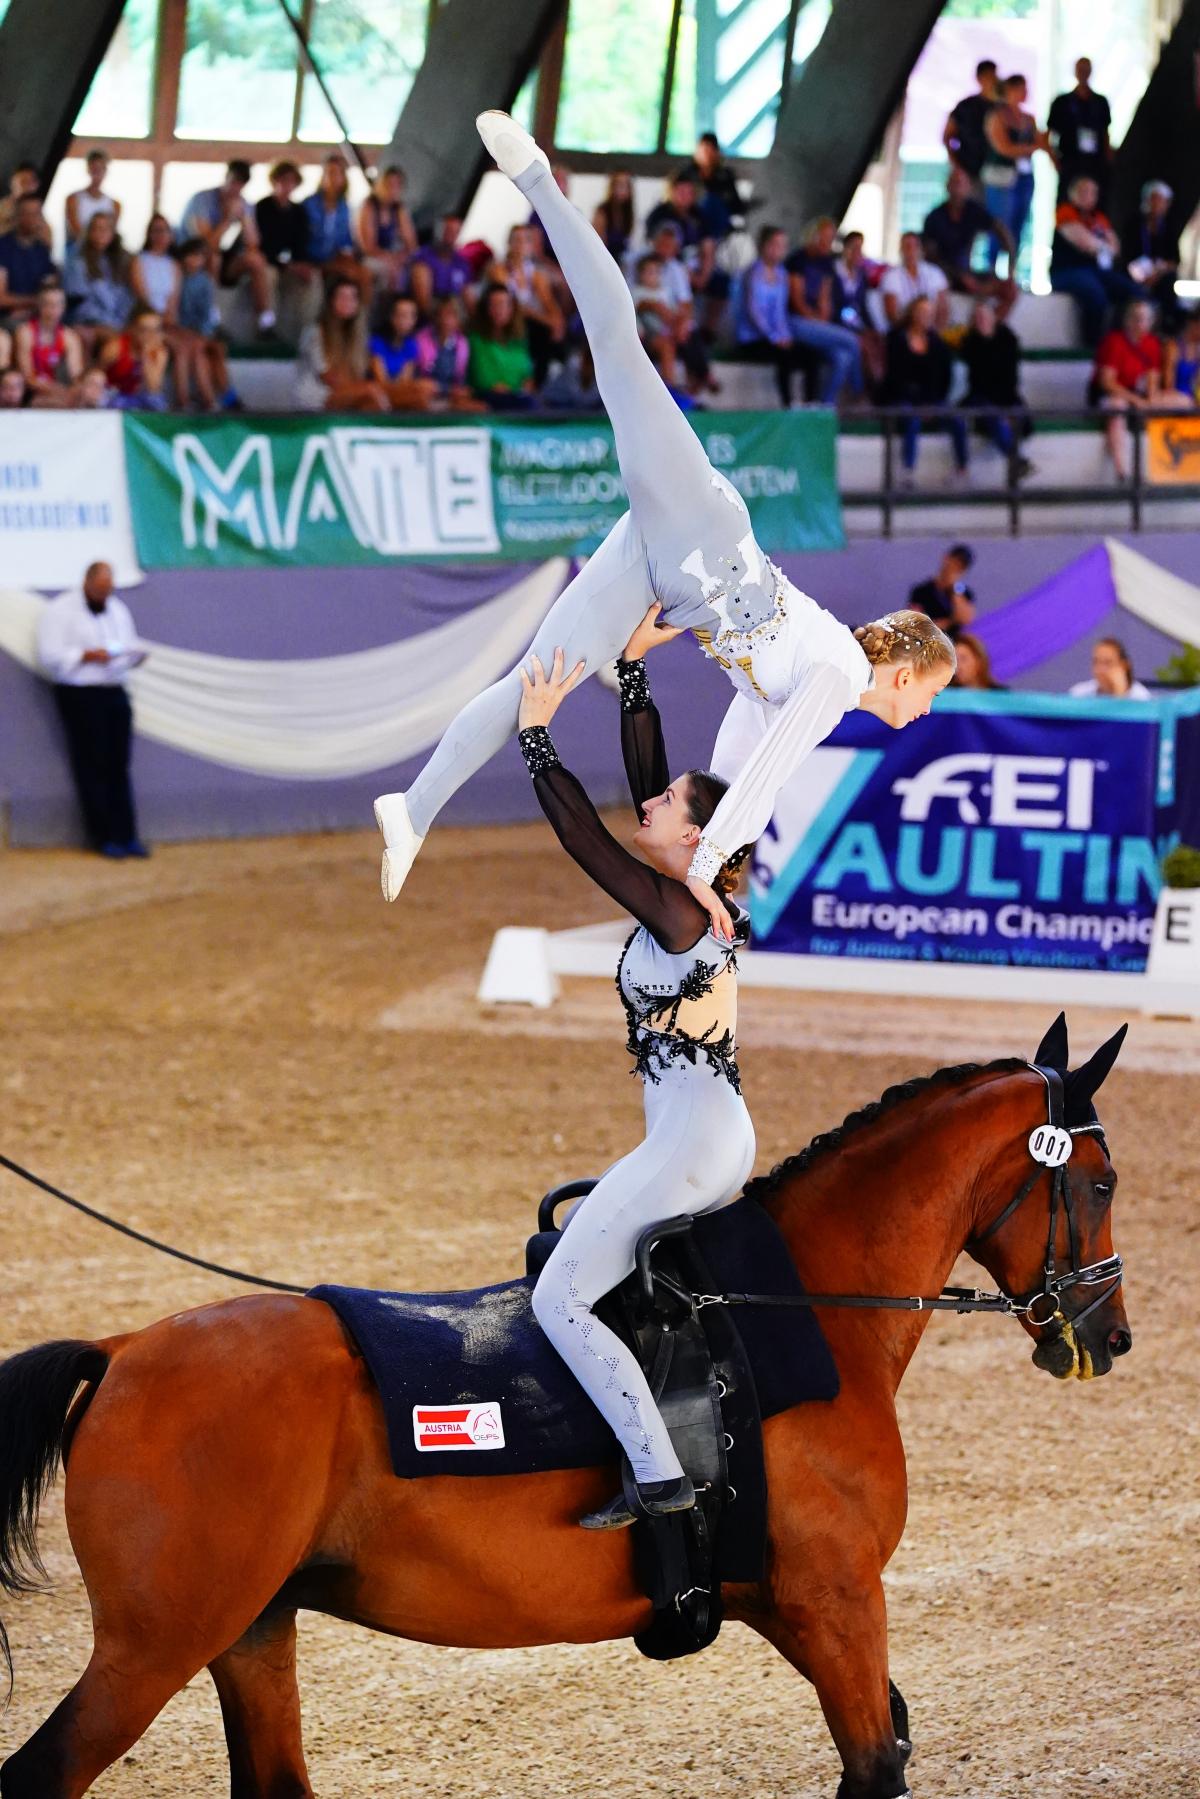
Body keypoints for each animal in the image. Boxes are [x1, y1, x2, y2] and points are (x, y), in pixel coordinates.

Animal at [0, 1021, 1129, 1791]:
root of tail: (124, 1352)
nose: (1108, 1334)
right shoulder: (838, 1602)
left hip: (250, 1628)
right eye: (1102, 1181)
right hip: (153, 1650)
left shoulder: (792, 1607)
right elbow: (875, 1764)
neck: (793, 1309)